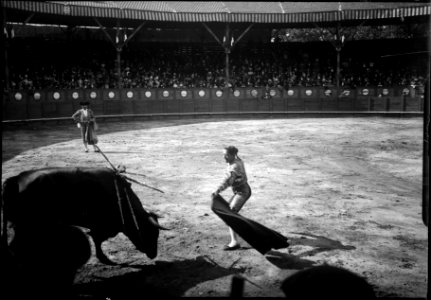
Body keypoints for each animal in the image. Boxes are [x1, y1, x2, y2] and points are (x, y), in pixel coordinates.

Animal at [1, 166, 167, 268]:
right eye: (150, 232)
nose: (153, 255)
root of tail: (15, 179)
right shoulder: (102, 227)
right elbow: (98, 240)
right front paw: (104, 259)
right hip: (26, 225)